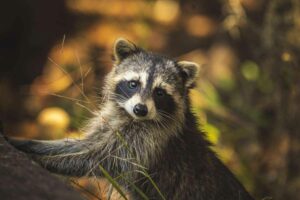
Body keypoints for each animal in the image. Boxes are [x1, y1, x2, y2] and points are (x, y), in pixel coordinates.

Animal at [5, 38, 254, 199]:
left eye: (159, 92)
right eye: (133, 83)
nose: (140, 109)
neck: (131, 118)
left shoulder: (149, 141)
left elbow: (99, 160)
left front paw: (45, 161)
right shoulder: (110, 124)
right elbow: (81, 145)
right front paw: (30, 144)